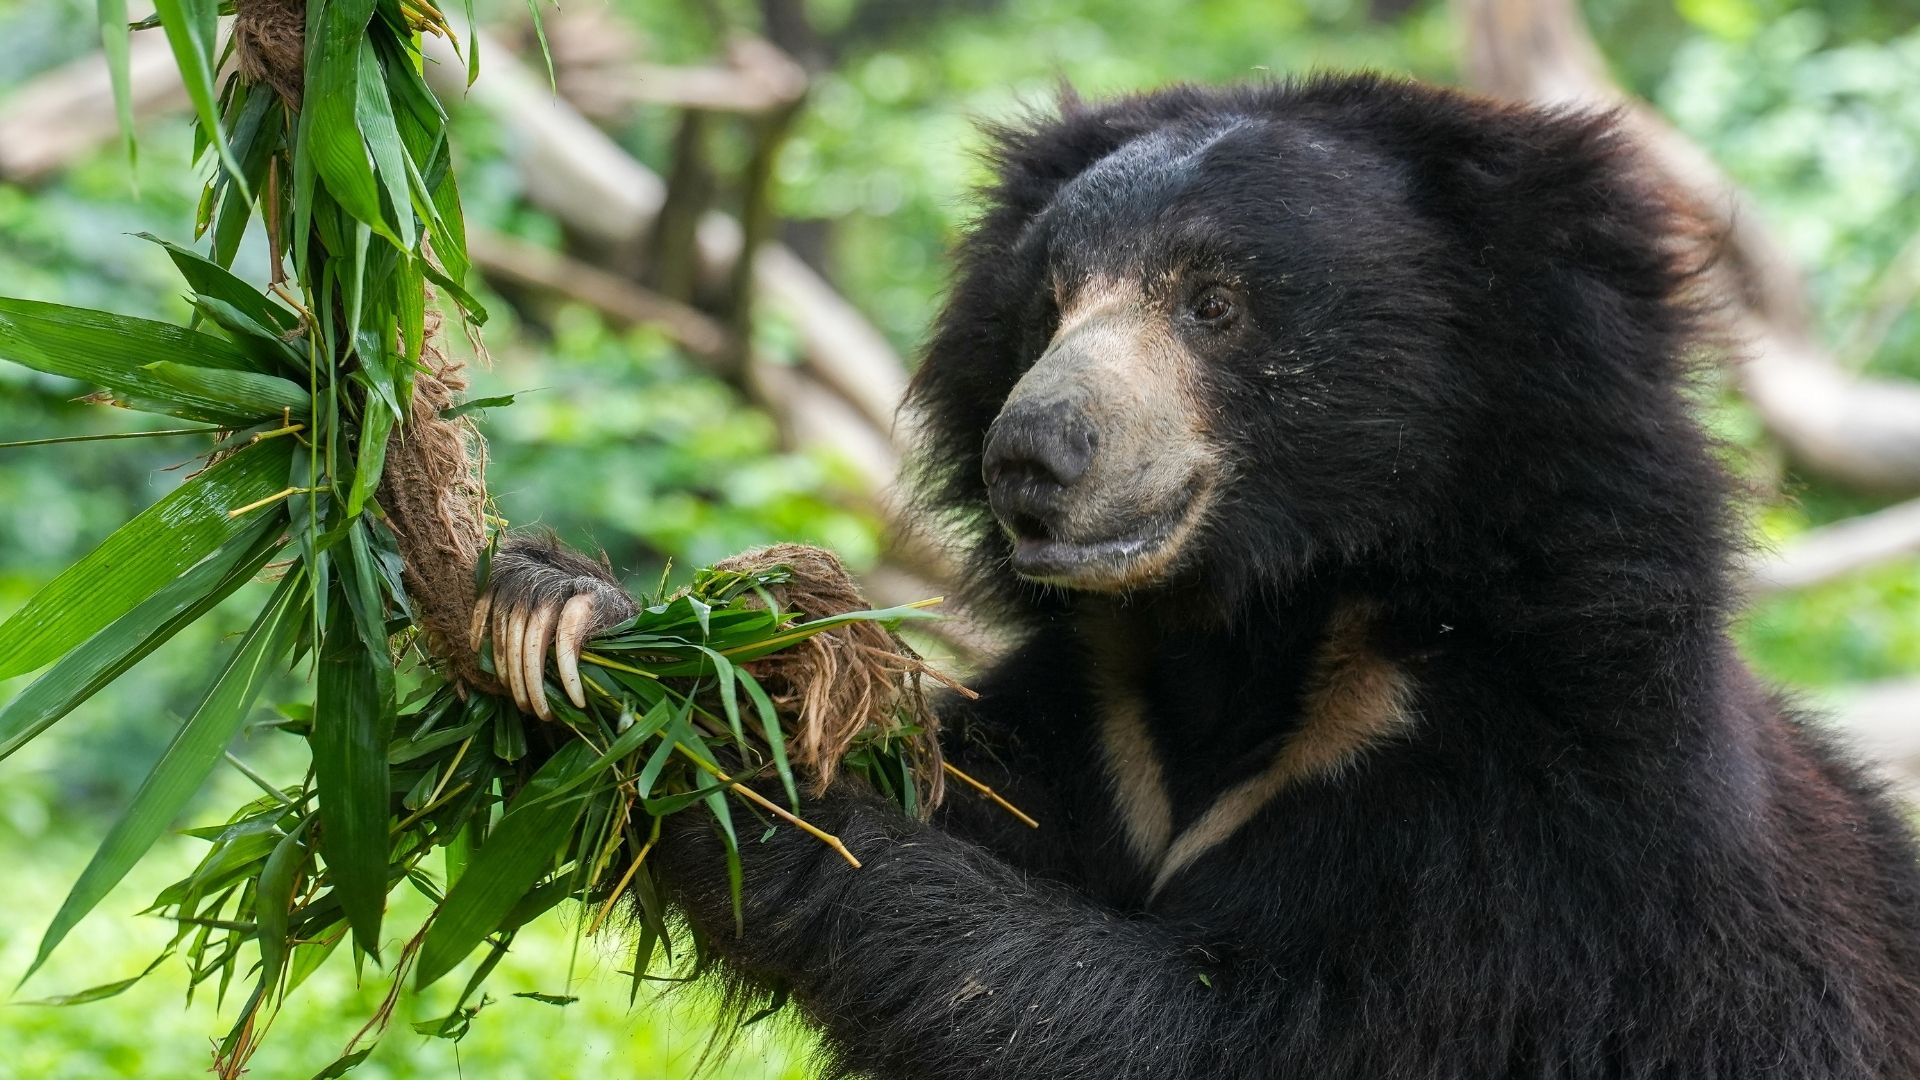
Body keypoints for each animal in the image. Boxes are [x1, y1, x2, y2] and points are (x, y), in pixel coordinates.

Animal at [476, 75, 1920, 1078]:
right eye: (1049, 304)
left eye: (1213, 302)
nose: (1032, 457)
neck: (1250, 626)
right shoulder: (1094, 729)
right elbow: (958, 786)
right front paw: (567, 612)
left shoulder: (1536, 830)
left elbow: (1218, 1032)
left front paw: (728, 761)